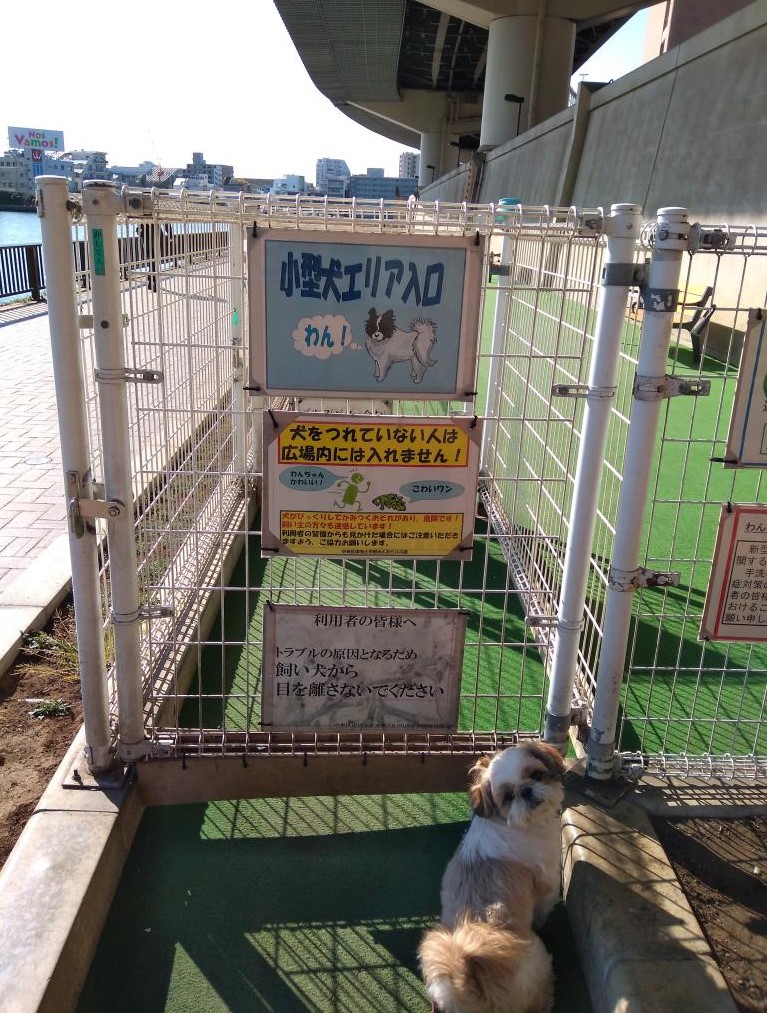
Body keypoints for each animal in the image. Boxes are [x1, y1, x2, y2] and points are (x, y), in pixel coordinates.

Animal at [415, 741, 567, 1008]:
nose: (526, 790)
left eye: (536, 775)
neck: (506, 822)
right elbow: (544, 906)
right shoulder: (547, 879)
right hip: (537, 956)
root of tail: (474, 988)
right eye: (508, 797)